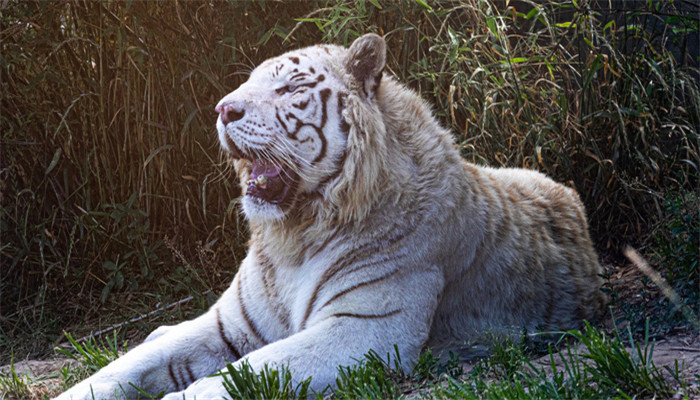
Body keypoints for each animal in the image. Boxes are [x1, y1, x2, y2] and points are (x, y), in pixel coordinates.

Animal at [55, 33, 606, 400]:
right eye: (245, 85)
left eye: (287, 89)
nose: (222, 109)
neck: (295, 233)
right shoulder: (228, 323)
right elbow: (124, 367)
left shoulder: (365, 329)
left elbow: (241, 374)